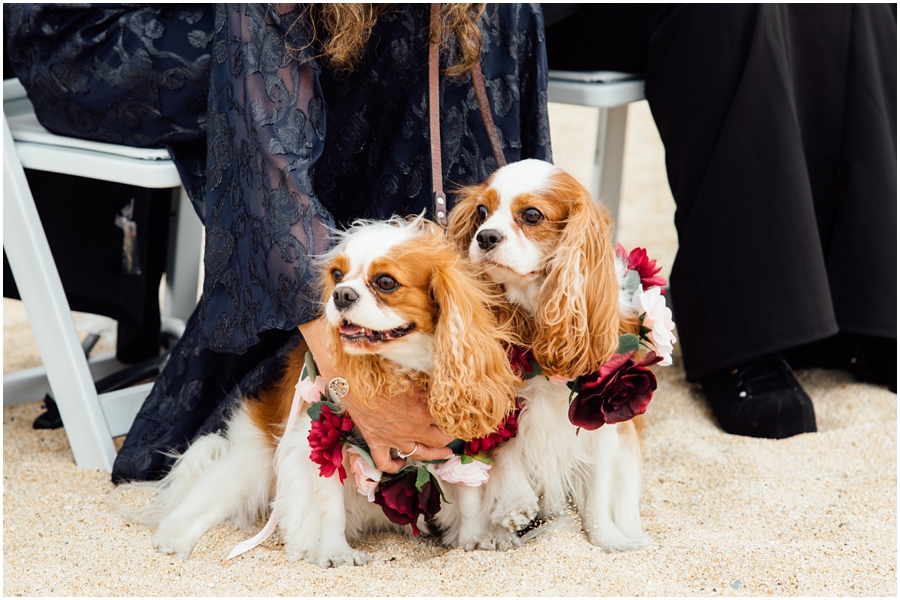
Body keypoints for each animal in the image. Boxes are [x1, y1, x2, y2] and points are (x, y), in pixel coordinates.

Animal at [112, 217, 520, 568]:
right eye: (337, 275)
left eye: (386, 282)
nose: (341, 294)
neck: (400, 368)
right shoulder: (324, 439)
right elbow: (330, 506)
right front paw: (336, 552)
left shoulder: (462, 442)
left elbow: (469, 497)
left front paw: (474, 539)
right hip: (248, 470)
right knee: (190, 511)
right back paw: (175, 543)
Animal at [448, 159, 648, 552]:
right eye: (481, 212)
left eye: (532, 215)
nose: (485, 236)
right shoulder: (505, 404)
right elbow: (507, 454)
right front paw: (515, 505)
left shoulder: (604, 417)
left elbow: (599, 492)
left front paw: (608, 540)